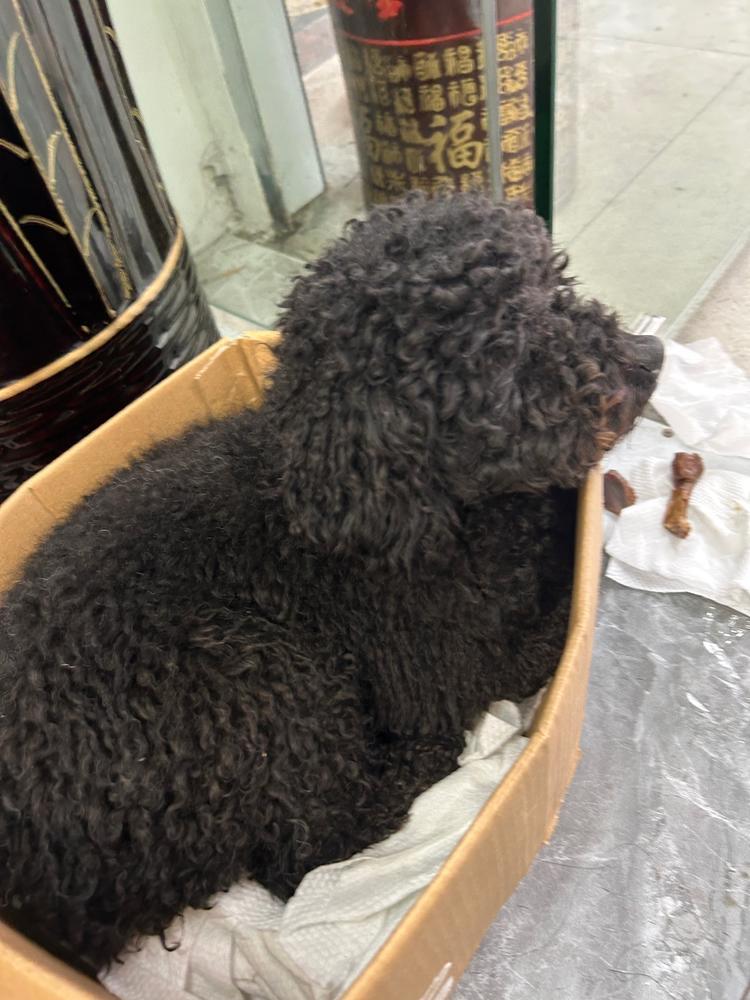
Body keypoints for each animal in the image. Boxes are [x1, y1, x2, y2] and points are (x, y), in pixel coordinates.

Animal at [0, 193, 662, 971]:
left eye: (556, 285)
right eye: (504, 357)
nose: (650, 358)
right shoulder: (442, 672)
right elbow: (548, 632)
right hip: (257, 675)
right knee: (308, 852)